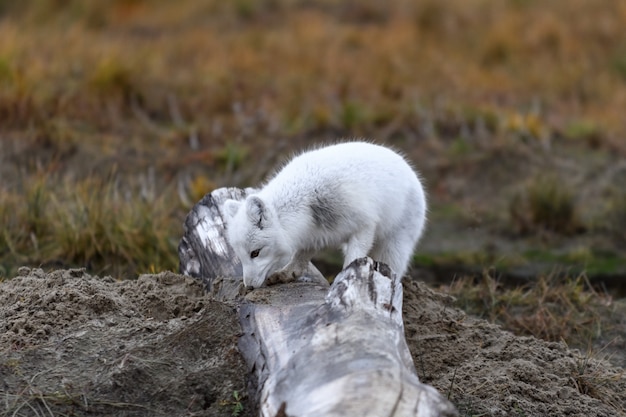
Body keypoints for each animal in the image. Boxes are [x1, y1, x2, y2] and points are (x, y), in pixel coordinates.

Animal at [222, 141, 426, 288]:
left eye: (255, 253)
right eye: (240, 256)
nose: (248, 286)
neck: (306, 200)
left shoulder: (364, 226)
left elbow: (353, 260)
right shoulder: (313, 236)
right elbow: (299, 259)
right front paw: (286, 274)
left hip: (393, 248)